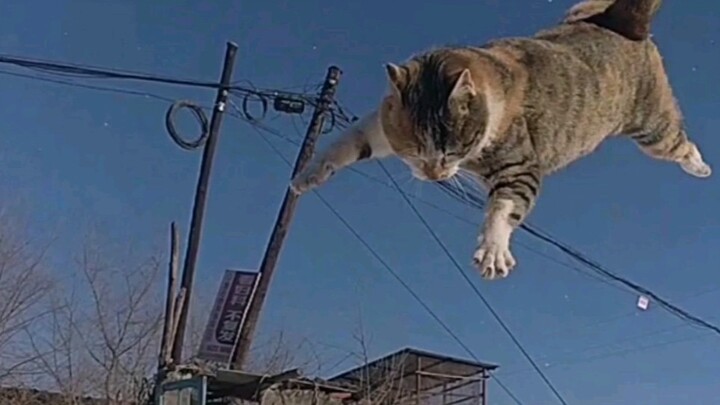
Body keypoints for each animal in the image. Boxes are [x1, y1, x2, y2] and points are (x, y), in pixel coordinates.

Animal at [290, 0, 712, 280]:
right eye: (416, 150)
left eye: (451, 149)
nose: (435, 175)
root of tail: (622, 22)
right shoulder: (384, 127)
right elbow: (349, 142)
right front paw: (306, 177)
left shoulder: (520, 163)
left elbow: (505, 204)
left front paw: (493, 251)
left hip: (652, 129)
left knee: (677, 142)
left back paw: (701, 168)